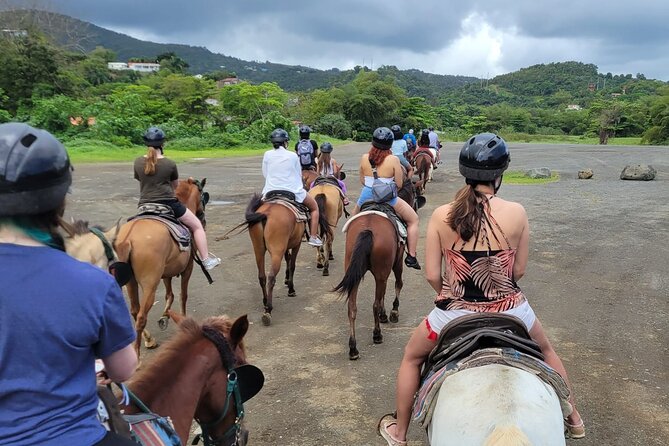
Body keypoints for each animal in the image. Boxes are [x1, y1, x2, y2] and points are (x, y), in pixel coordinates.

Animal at [113, 179, 209, 358]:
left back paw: (149, 339)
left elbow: (169, 295)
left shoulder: (166, 273)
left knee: (135, 311)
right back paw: (137, 354)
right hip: (150, 284)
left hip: (131, 282)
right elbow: (183, 296)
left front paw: (165, 316)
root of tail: (128, 239)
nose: (203, 221)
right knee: (141, 316)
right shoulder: (188, 268)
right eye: (202, 196)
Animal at [332, 211, 402, 360]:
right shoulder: (396, 262)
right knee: (375, 304)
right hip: (382, 271)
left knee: (352, 308)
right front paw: (393, 312)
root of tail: (368, 229)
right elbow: (397, 284)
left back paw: (353, 348)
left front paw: (384, 314)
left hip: (354, 272)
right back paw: (377, 334)